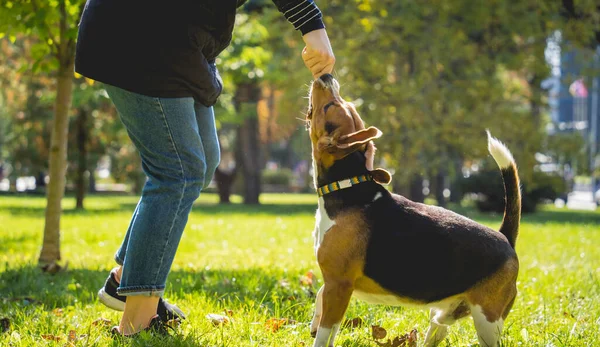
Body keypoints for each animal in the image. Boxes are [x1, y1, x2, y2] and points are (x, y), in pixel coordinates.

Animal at [304, 74, 520, 347]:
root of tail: (505, 237)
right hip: (443, 314)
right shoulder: (335, 283)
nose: (326, 76)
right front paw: (314, 320)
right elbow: (321, 299)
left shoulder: (339, 284)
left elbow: (325, 331)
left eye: (330, 107)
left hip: (487, 321)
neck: (348, 186)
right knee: (439, 328)